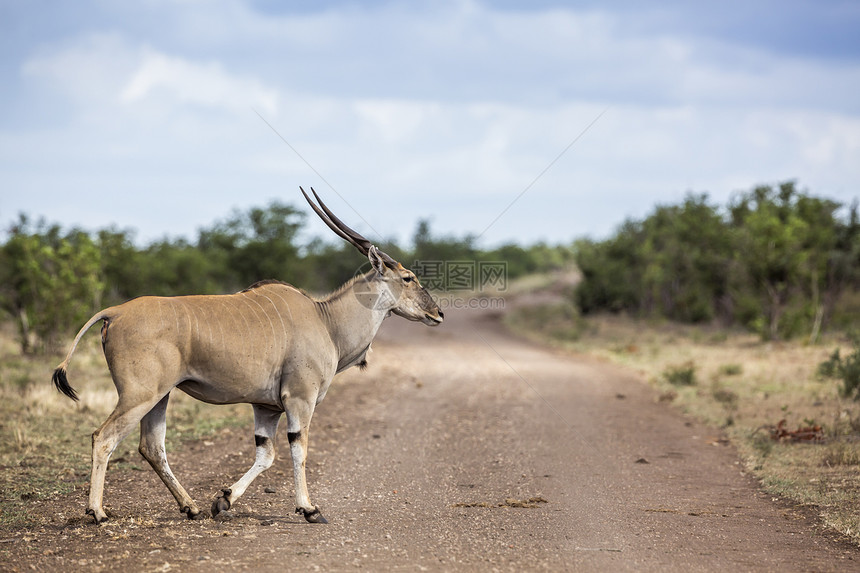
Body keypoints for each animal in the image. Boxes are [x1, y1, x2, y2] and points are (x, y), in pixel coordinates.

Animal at [53, 188, 444, 524]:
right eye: (408, 277)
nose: (437, 313)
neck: (325, 320)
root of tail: (115, 312)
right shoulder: (299, 400)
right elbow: (298, 450)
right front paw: (309, 509)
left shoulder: (266, 408)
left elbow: (265, 455)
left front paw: (223, 500)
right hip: (140, 395)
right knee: (104, 437)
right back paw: (97, 512)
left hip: (159, 396)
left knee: (151, 446)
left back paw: (190, 506)